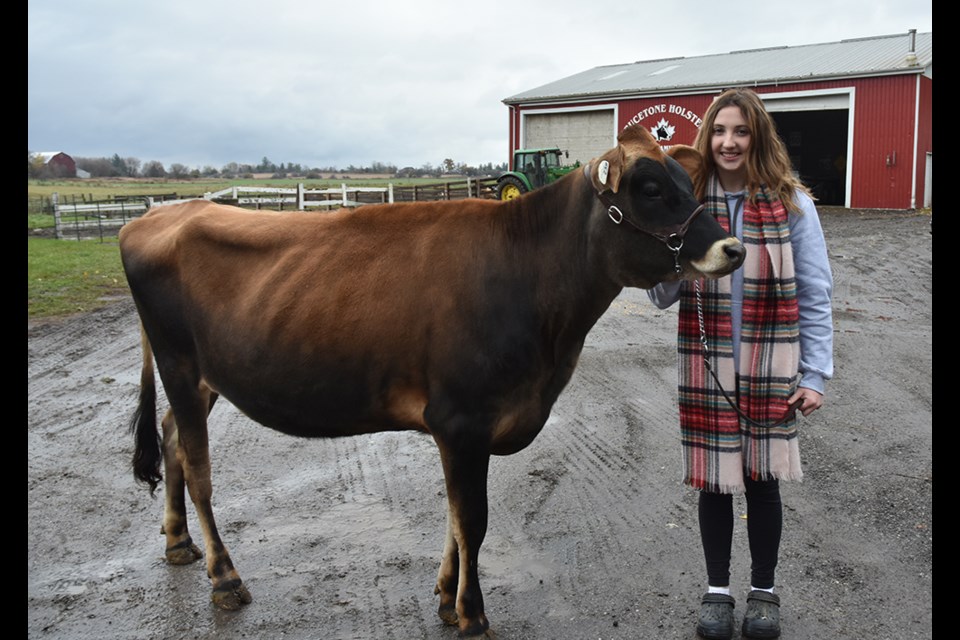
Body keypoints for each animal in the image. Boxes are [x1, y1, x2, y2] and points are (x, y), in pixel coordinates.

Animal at [120, 122, 748, 636]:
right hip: (180, 366)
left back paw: (178, 543)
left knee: (172, 439)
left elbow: (453, 516)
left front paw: (448, 598)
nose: (734, 248)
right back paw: (224, 577)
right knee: (199, 470)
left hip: (203, 379)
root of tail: (158, 215)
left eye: (688, 183)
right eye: (649, 188)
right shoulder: (463, 419)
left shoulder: (462, 429)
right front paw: (472, 615)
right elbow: (472, 520)